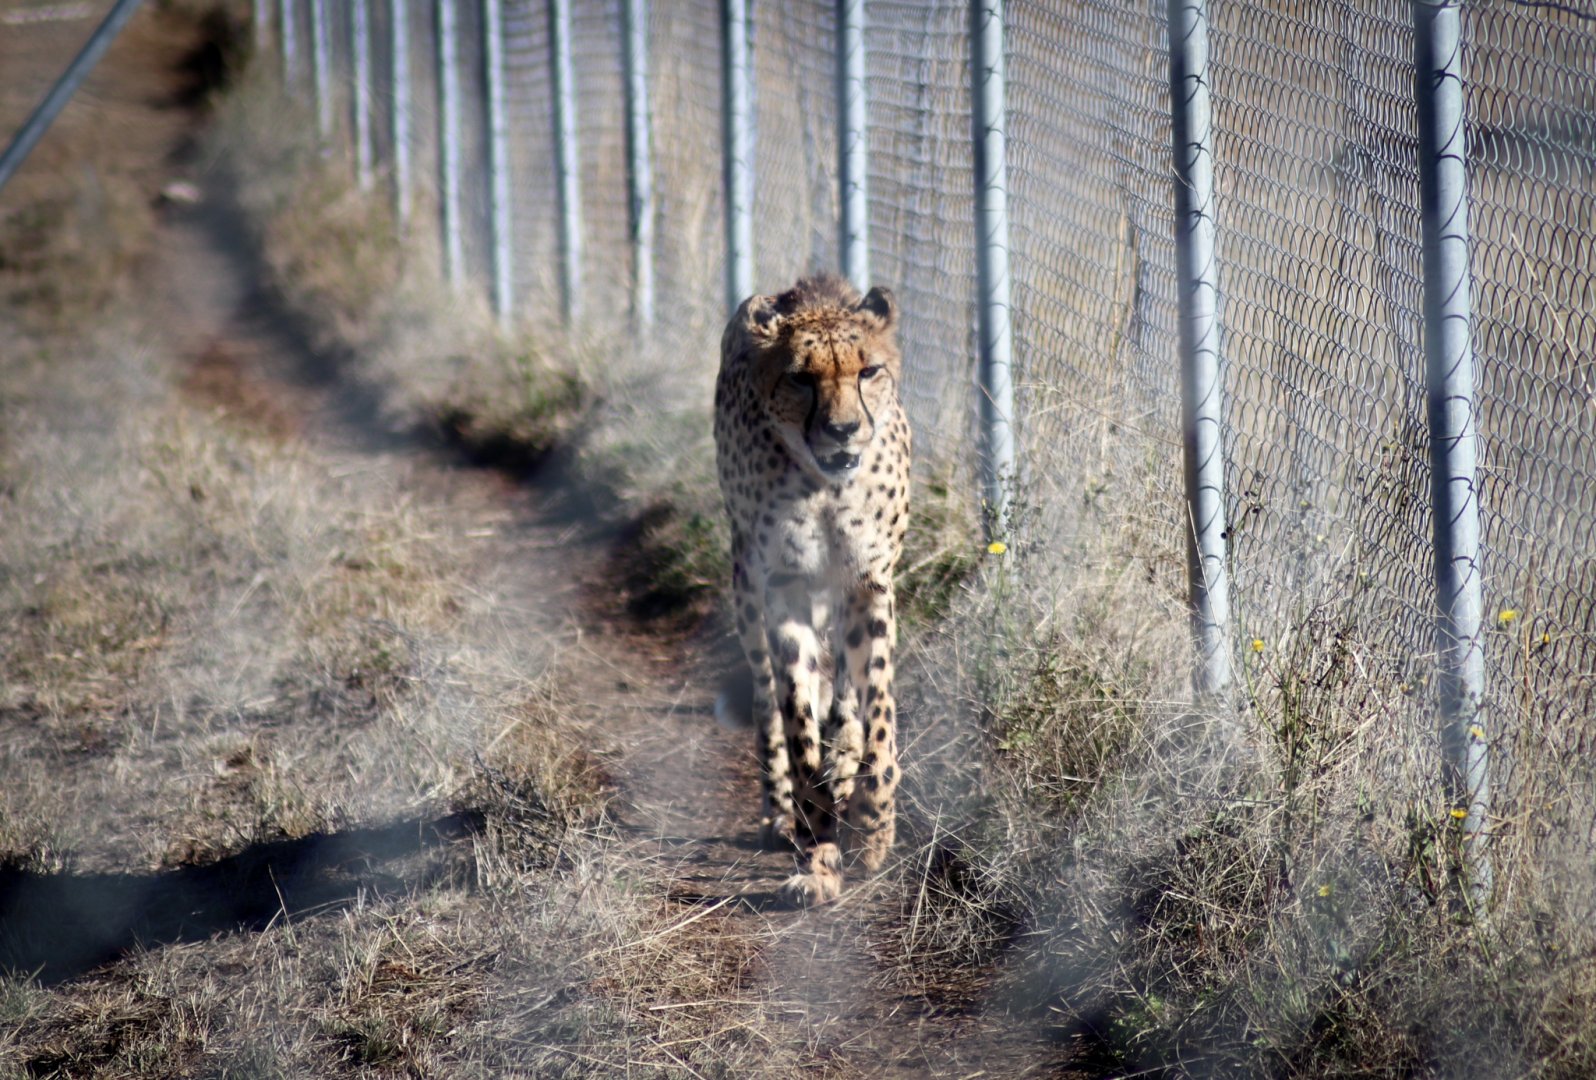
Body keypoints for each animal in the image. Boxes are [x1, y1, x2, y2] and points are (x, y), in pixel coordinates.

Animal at [713, 272, 911, 907]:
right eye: (801, 377)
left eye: (868, 371)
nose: (844, 430)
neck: (826, 484)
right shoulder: (785, 588)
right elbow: (797, 717)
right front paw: (818, 850)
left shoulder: (869, 581)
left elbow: (878, 714)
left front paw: (872, 825)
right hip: (746, 589)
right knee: (764, 699)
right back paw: (782, 811)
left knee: (846, 694)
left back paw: (844, 763)